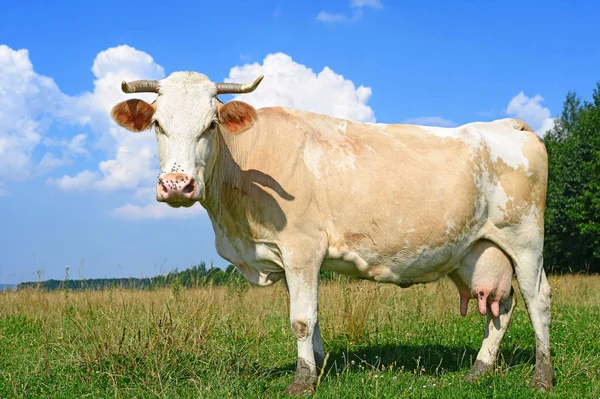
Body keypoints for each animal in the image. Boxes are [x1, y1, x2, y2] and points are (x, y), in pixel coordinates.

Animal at [111, 72, 552, 394]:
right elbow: (312, 316)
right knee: (503, 305)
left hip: (526, 239)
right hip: (479, 249)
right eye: (157, 124)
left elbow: (301, 319)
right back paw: (479, 369)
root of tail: (508, 123)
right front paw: (319, 365)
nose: (177, 184)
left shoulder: (301, 248)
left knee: (538, 299)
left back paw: (542, 377)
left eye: (211, 125)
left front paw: (303, 381)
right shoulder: (288, 256)